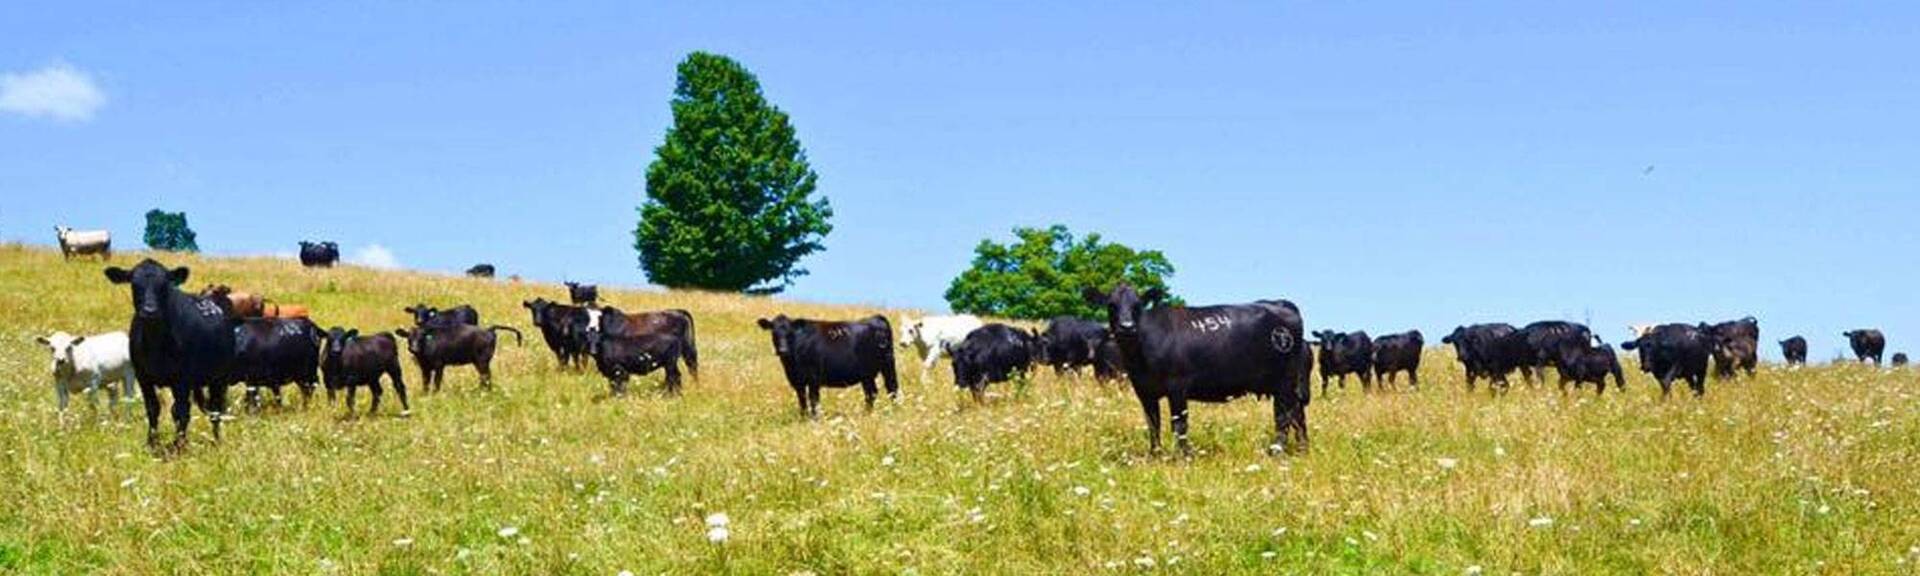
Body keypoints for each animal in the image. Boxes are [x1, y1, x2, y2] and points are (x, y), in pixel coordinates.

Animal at [104, 259, 237, 451]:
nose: (150, 311)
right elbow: (153, 408)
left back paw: (216, 439)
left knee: (215, 408)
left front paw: (179, 445)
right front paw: (152, 442)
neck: (155, 343)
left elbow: (181, 412)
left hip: (219, 379)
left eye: (164, 285)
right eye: (135, 285)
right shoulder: (143, 377)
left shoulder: (182, 379)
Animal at [756, 315, 899, 418]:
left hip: (887, 364)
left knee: (891, 388)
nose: (782, 350)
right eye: (774, 333)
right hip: (867, 374)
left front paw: (814, 418)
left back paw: (894, 411)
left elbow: (813, 398)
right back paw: (867, 413)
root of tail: (876, 317)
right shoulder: (797, 381)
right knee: (871, 393)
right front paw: (803, 417)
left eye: (790, 333)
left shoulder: (813, 377)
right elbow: (802, 399)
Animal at [1083, 284, 1311, 456]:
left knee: (1284, 416)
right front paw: (1155, 454)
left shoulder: (1177, 387)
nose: (1127, 326)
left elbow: (1179, 424)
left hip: (1285, 382)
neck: (1139, 353)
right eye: (1111, 305)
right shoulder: (1144, 390)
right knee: (1297, 414)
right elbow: (1153, 423)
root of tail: (1280, 303)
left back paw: (1277, 451)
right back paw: (1301, 449)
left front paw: (1183, 455)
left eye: (1137, 305)